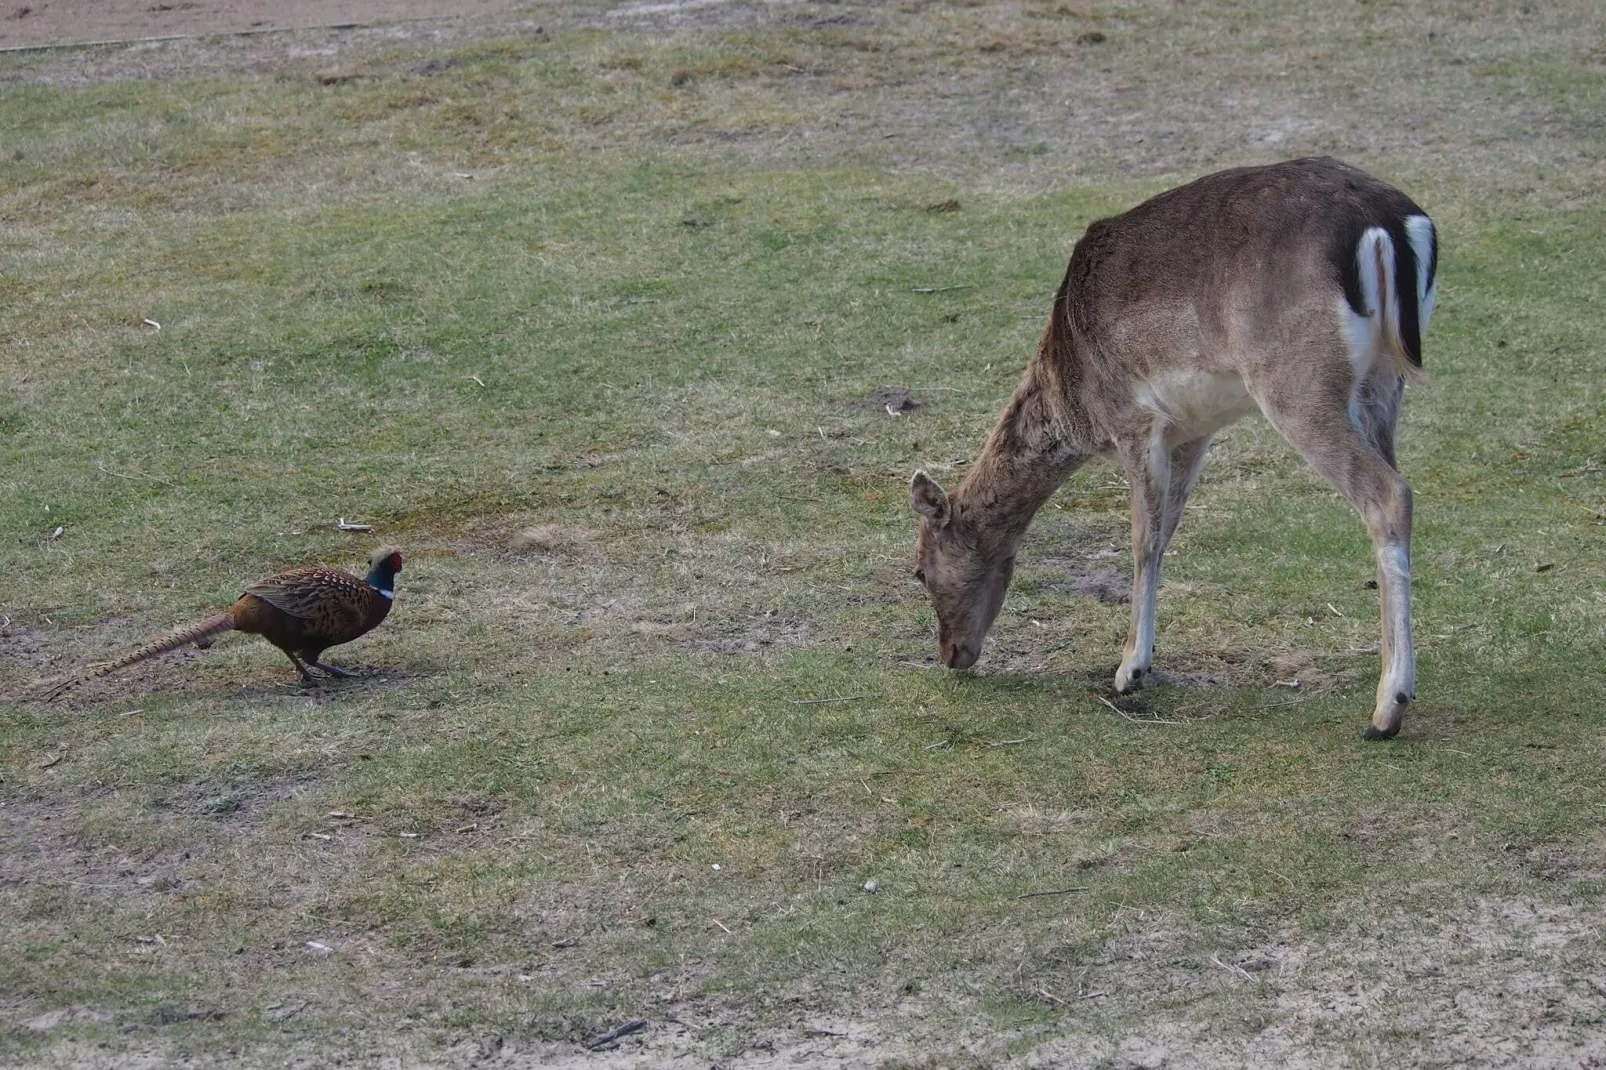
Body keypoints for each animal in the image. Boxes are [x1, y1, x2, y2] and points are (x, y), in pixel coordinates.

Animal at [918, 156, 1445, 742]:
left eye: (919, 570)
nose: (950, 653)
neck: (1074, 396)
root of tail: (1391, 224)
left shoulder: (1133, 419)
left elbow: (1142, 540)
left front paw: (1128, 670)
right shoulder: (1193, 430)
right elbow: (1167, 529)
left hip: (1297, 383)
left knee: (1389, 493)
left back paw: (1387, 709)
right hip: (1384, 382)